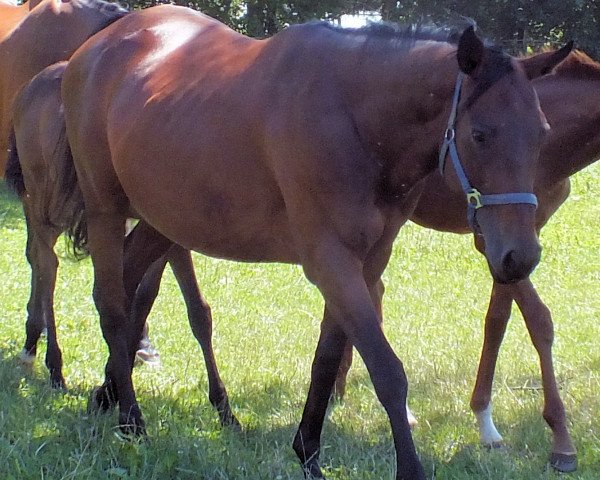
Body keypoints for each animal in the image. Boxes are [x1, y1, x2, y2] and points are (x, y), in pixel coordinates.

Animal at [57, 5, 572, 478]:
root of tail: (99, 44)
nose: (520, 256)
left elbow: (326, 359)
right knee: (112, 307)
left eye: (543, 133)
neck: (355, 119)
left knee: (129, 289)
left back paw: (106, 397)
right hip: (106, 211)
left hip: (159, 222)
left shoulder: (366, 261)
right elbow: (387, 371)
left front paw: (308, 453)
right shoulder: (330, 261)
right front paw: (407, 467)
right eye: (481, 134)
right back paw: (131, 421)